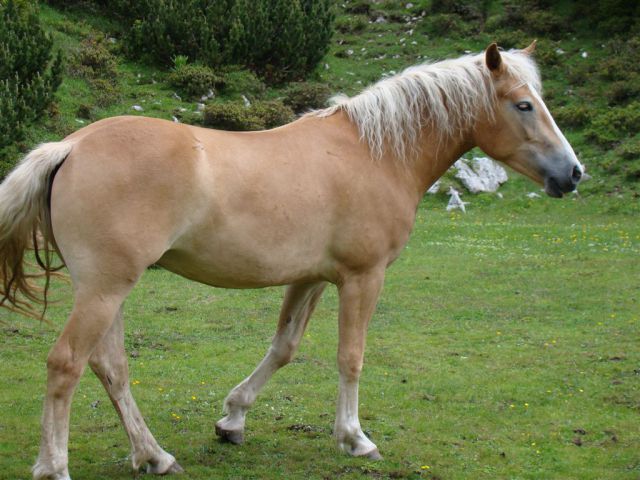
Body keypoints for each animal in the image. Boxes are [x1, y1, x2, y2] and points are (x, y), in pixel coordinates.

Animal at [0, 42, 584, 480]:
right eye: (523, 104)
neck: (373, 153)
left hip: (110, 289)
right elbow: (351, 357)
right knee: (66, 364)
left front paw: (233, 419)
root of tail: (70, 147)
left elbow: (284, 348)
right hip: (104, 289)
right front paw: (354, 438)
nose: (573, 173)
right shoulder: (362, 278)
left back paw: (155, 456)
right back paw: (54, 466)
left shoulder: (311, 278)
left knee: (111, 368)